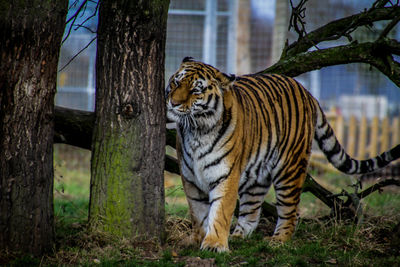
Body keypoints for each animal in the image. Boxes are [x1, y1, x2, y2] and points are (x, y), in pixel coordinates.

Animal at [164, 57, 400, 253]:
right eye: (175, 83)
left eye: (196, 90)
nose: (173, 103)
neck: (197, 130)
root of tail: (306, 91)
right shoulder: (190, 179)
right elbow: (197, 212)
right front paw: (197, 240)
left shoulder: (226, 176)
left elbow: (220, 211)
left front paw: (214, 245)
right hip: (257, 176)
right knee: (251, 210)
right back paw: (239, 236)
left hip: (289, 170)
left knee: (290, 211)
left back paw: (278, 241)